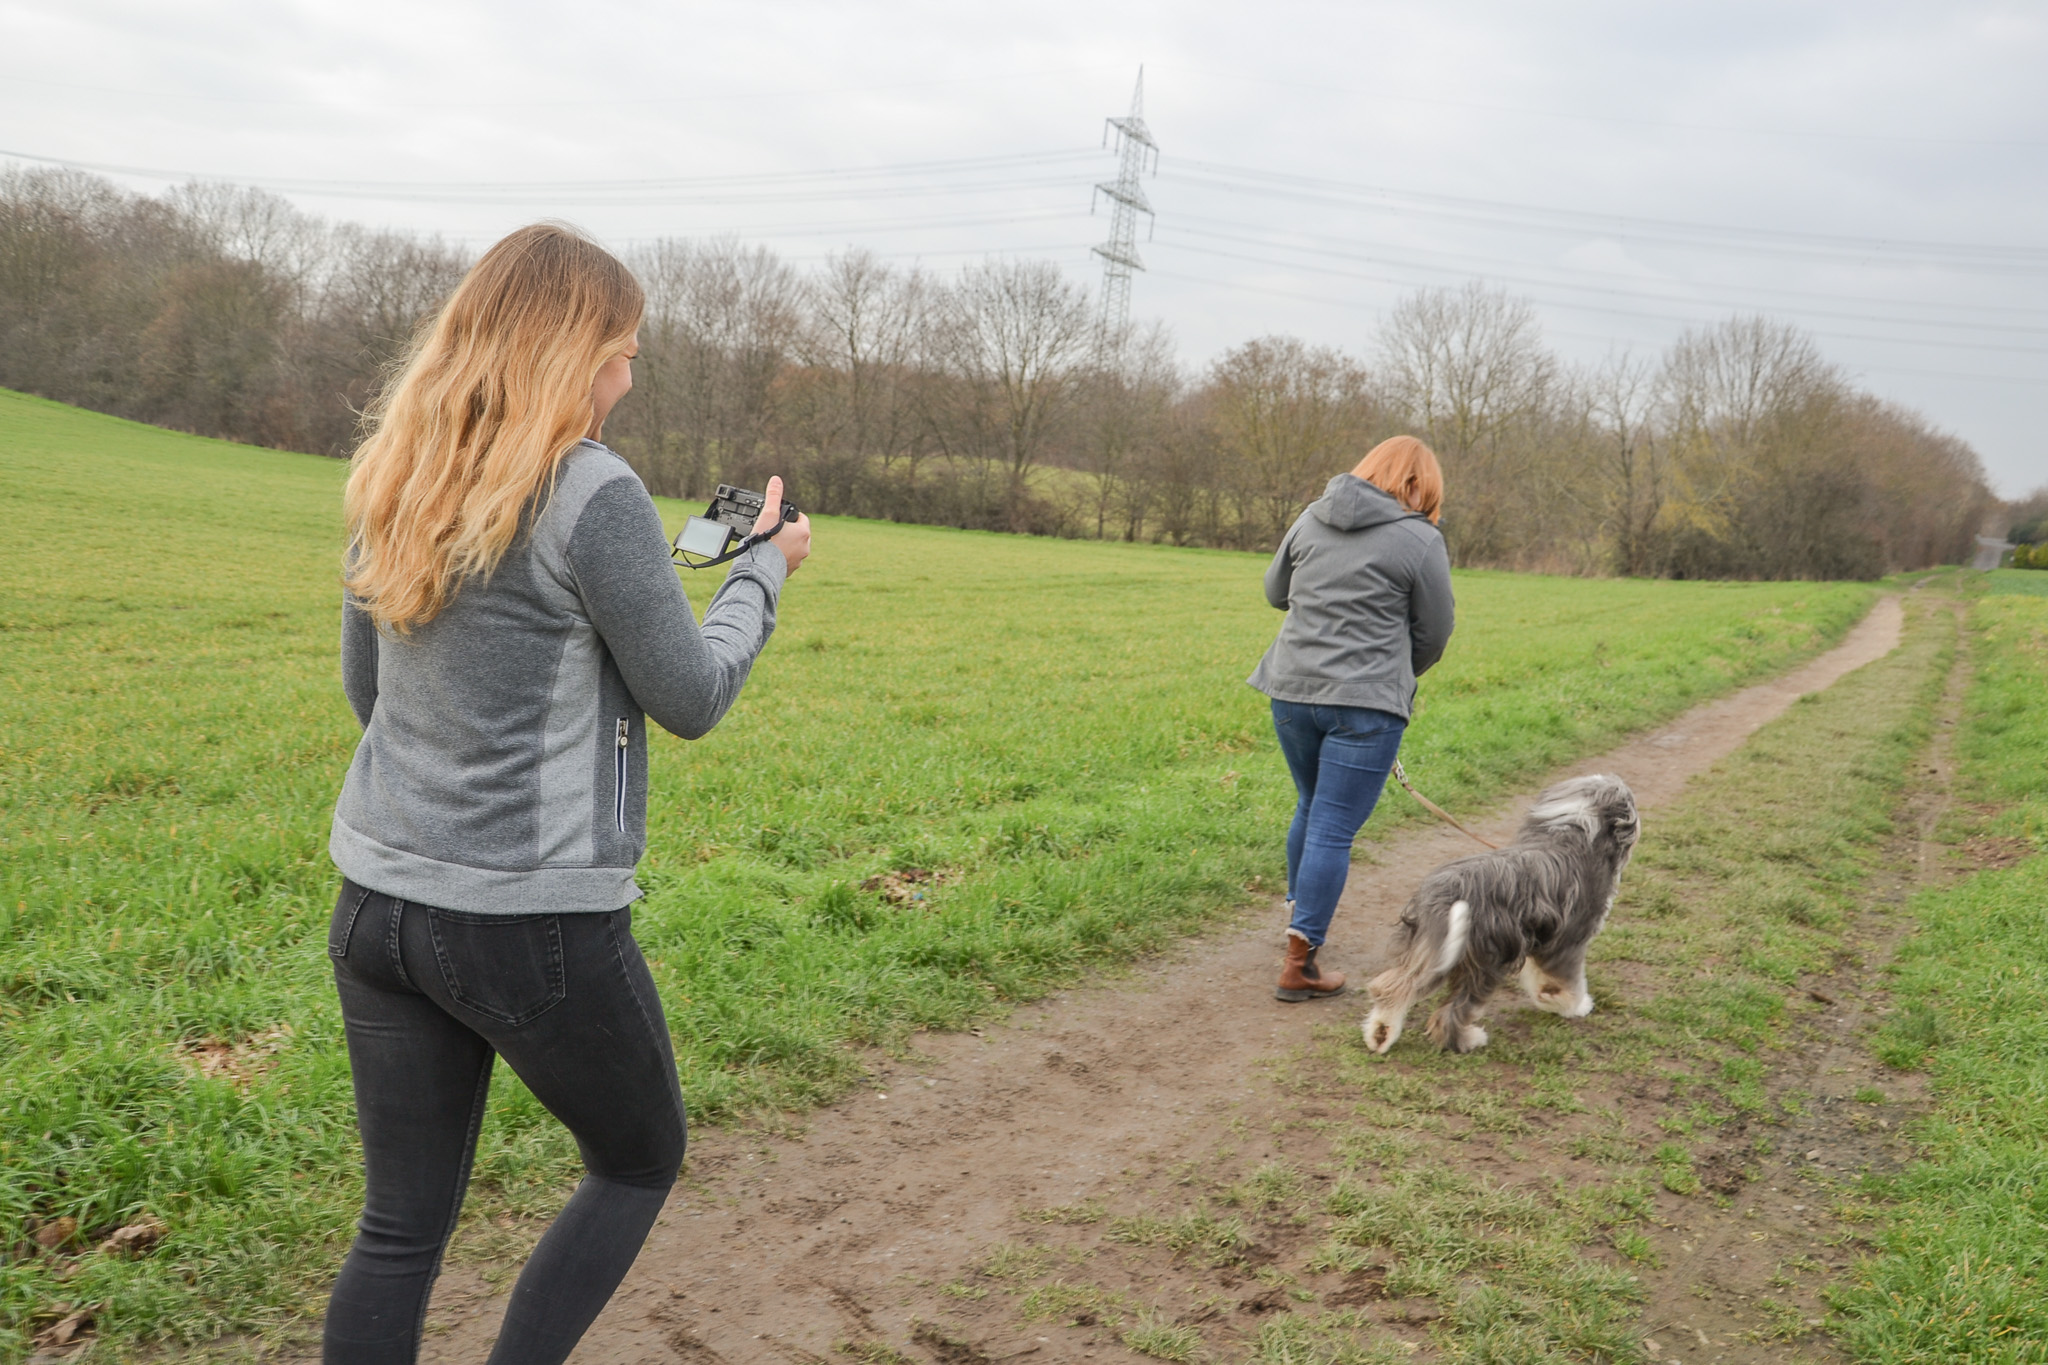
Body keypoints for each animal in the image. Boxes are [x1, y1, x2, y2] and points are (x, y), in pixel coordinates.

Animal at [1368, 773, 1638, 1055]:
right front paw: (1573, 1006)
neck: (1574, 834)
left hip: (1430, 950)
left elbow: (1538, 978)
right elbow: (1569, 983)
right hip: (1483, 960)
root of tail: (1448, 894)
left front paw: (1547, 998)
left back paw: (1380, 1034)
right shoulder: (1569, 941)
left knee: (1392, 986)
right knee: (1451, 1011)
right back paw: (1468, 1040)